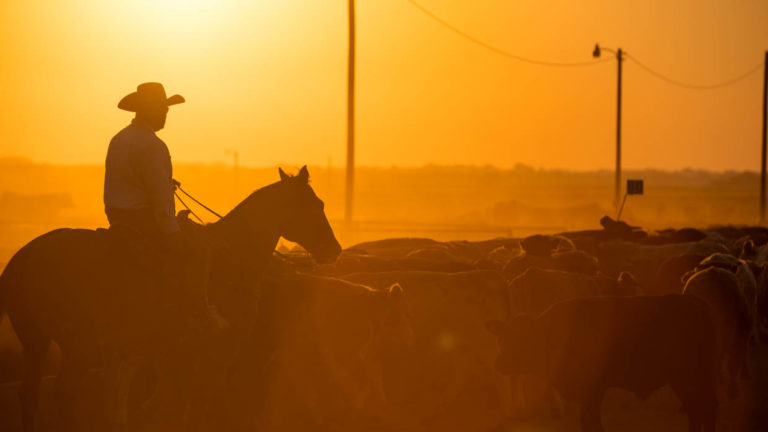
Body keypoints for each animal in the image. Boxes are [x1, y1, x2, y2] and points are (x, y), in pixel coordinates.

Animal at [0, 166, 342, 432]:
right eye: (314, 204)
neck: (233, 256)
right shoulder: (218, 350)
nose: (333, 249)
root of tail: (22, 258)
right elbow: (205, 401)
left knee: (30, 394)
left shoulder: (173, 351)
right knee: (63, 392)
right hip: (78, 344)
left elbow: (171, 404)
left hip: (36, 340)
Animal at [486, 296, 720, 432]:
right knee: (700, 409)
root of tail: (698, 307)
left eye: (524, 338)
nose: (499, 363)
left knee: (702, 409)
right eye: (503, 339)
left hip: (686, 377)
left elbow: (592, 422)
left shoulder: (593, 391)